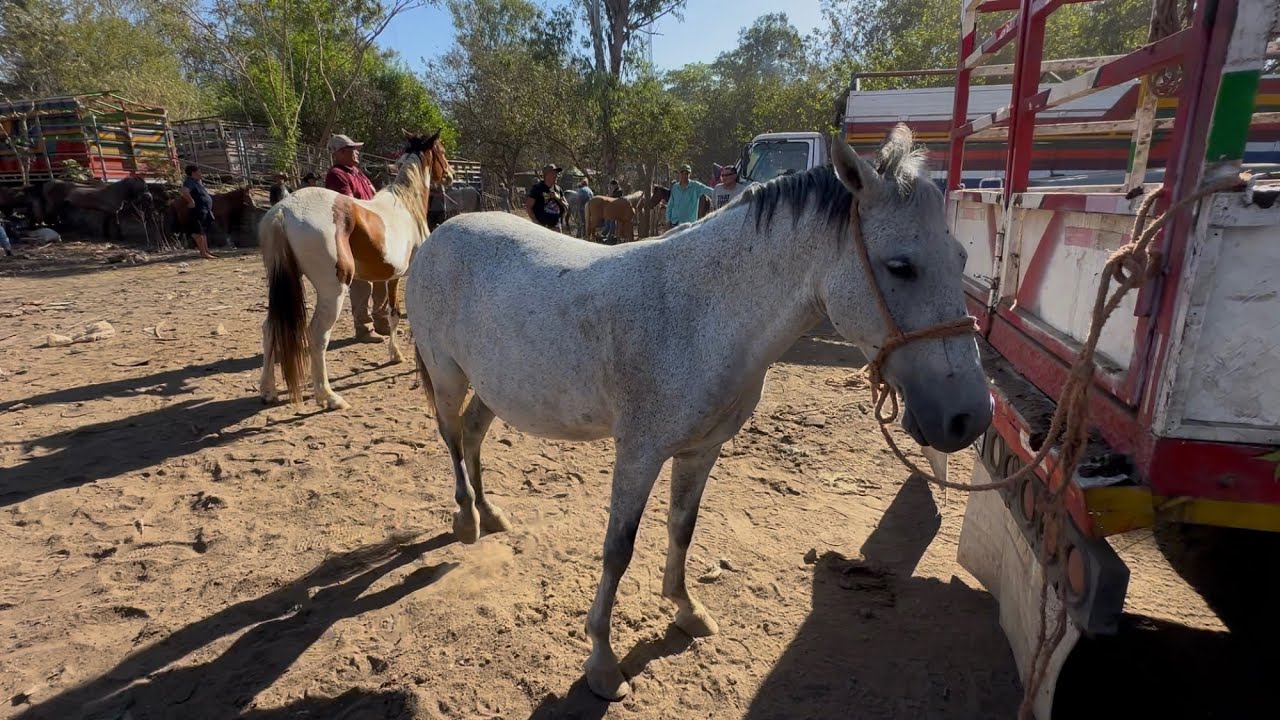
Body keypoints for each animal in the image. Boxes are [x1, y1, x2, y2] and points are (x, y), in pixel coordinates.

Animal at [257, 130, 453, 411]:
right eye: (442, 150)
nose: (450, 175)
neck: (405, 206)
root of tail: (283, 211)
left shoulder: (388, 278)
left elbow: (390, 313)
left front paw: (394, 353)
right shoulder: (400, 278)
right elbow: (396, 314)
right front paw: (398, 354)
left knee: (270, 328)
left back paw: (268, 390)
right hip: (333, 292)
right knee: (317, 335)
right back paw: (328, 397)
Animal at [403, 124, 992, 701]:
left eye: (963, 260)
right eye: (901, 266)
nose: (970, 416)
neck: (699, 314)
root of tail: (442, 234)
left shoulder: (701, 451)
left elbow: (682, 528)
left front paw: (685, 610)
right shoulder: (638, 454)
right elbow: (617, 550)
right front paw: (602, 661)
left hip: (494, 386)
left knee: (473, 434)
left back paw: (491, 513)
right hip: (448, 375)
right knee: (451, 437)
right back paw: (466, 519)